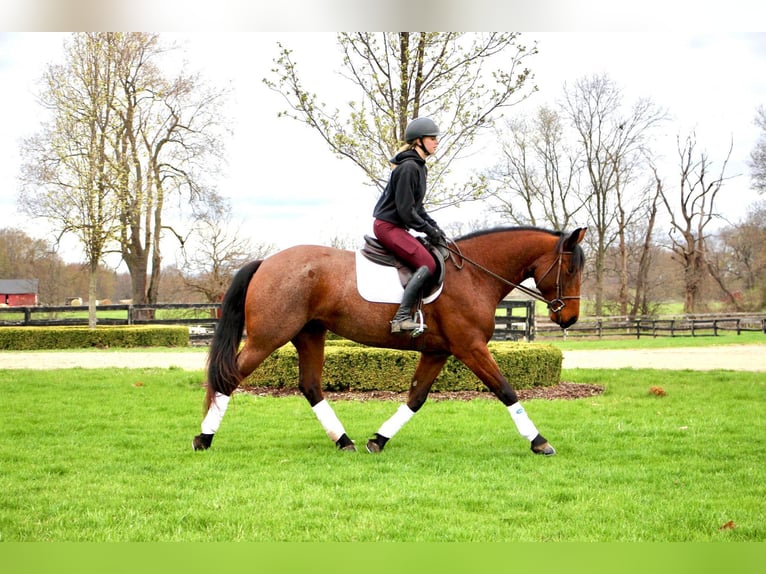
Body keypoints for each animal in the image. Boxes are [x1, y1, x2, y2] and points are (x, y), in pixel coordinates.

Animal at [192, 227, 588, 456]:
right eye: (570, 269)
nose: (569, 318)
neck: (475, 274)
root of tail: (266, 262)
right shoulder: (470, 348)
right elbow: (506, 390)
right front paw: (539, 441)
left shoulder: (437, 351)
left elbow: (415, 398)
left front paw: (378, 440)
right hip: (268, 338)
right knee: (229, 378)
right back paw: (204, 439)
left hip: (309, 334)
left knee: (310, 386)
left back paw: (344, 441)